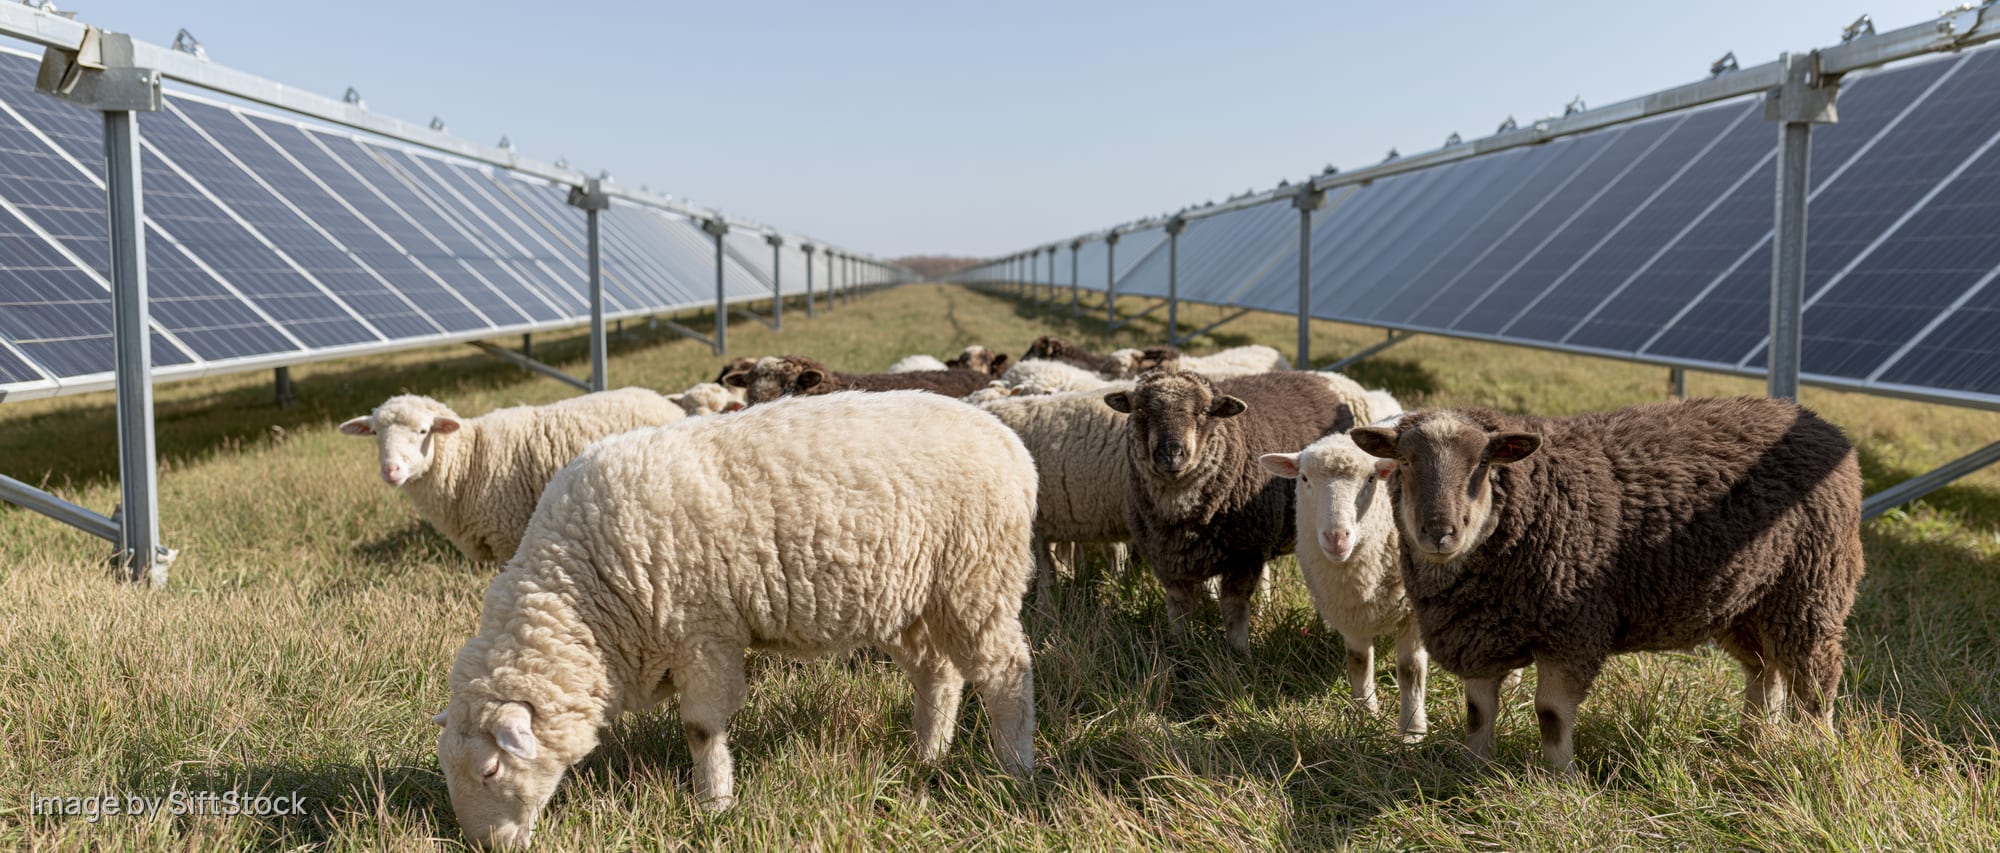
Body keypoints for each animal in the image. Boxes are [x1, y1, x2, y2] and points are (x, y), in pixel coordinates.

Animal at [338, 389, 685, 564]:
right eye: (375, 434)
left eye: (423, 431)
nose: (391, 470)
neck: (468, 461)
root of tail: (667, 404)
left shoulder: (507, 535)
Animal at [435, 391, 1038, 849]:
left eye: (490, 770)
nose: (487, 846)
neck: (583, 589)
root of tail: (1010, 444)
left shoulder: (701, 631)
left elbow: (701, 727)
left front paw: (715, 806)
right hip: (907, 599)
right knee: (938, 673)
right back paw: (927, 755)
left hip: (977, 577)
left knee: (1005, 671)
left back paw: (1013, 768)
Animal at [1105, 366, 1380, 651]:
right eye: (1140, 411)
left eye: (1202, 411)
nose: (1171, 454)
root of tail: (1326, 375)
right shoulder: (1165, 558)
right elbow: (1178, 609)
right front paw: (1180, 648)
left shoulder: (1245, 554)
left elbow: (1234, 609)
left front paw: (1239, 652)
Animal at [1259, 427, 1428, 741]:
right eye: (1304, 478)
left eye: (1372, 479)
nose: (1336, 538)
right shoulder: (1349, 610)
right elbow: (1358, 662)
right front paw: (1365, 717)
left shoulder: (1413, 611)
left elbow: (1410, 670)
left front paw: (1412, 731)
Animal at [1349, 396, 1865, 772]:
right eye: (1405, 461)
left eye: (1484, 463)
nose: (1439, 533)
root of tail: (1818, 423)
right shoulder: (1479, 635)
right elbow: (1477, 713)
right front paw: (1475, 769)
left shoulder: (1573, 628)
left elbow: (1551, 714)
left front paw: (1559, 779)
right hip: (1745, 601)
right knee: (1765, 672)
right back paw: (1752, 742)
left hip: (1811, 587)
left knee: (1814, 685)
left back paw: (1817, 754)